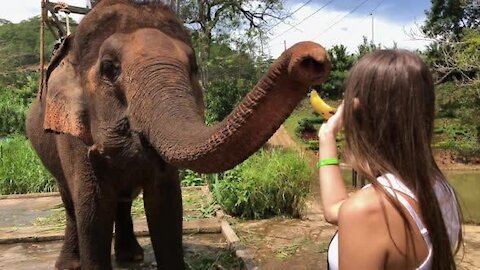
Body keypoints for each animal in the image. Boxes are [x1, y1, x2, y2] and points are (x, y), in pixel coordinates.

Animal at [25, 0, 330, 268]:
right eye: (109, 68)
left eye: (193, 68)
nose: (313, 58)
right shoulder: (71, 134)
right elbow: (93, 208)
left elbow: (166, 203)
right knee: (71, 204)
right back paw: (70, 263)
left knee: (122, 201)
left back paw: (132, 257)